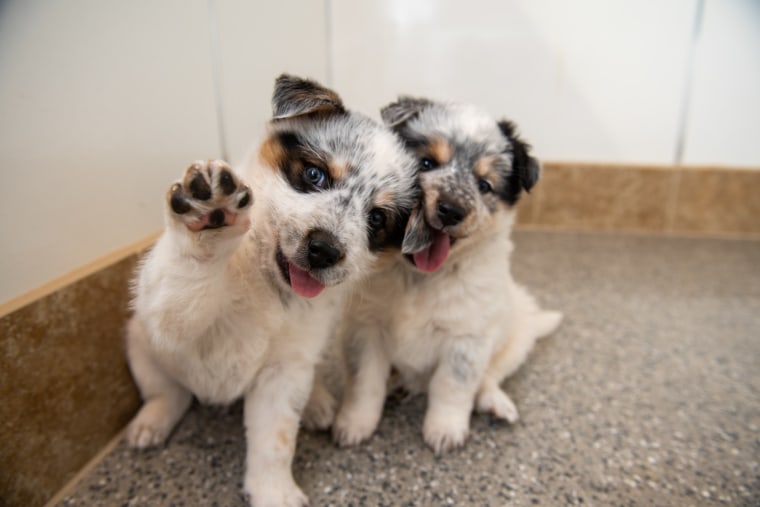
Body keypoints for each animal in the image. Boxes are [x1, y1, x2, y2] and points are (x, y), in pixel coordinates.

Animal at [127, 76, 418, 507]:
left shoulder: (284, 373)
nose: (324, 250)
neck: (268, 286)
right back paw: (153, 420)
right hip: (139, 342)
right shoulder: (172, 321)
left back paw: (317, 403)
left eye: (378, 218)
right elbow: (188, 278)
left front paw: (274, 491)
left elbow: (275, 443)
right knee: (168, 391)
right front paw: (209, 218)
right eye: (315, 175)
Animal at [334, 97, 564, 454]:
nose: (451, 210)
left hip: (516, 340)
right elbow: (364, 384)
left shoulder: (467, 338)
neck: (421, 278)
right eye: (427, 162)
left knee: (489, 377)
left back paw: (496, 403)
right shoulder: (365, 327)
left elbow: (452, 387)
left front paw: (444, 430)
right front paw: (355, 425)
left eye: (484, 185)